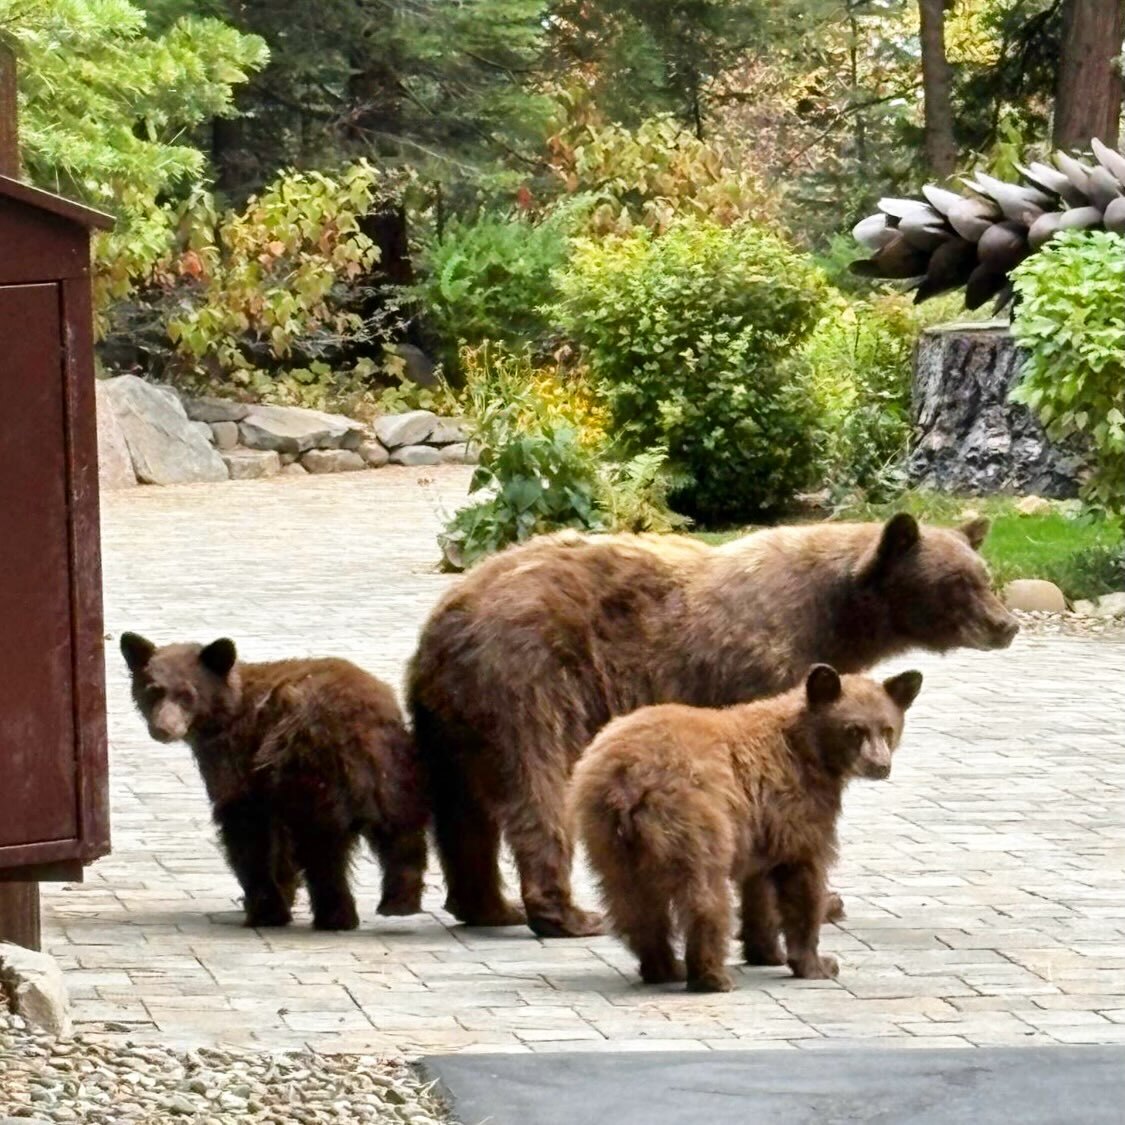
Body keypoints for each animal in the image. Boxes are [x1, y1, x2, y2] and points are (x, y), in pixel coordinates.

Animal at [121, 633, 428, 931]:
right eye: (153, 690)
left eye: (187, 694)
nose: (163, 728)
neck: (226, 710)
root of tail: (353, 727)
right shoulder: (270, 784)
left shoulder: (241, 763)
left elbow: (248, 834)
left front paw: (266, 907)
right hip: (391, 770)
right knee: (401, 833)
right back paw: (399, 902)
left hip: (313, 776)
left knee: (322, 848)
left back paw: (333, 916)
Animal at [407, 512, 1017, 939]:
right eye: (960, 582)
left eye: (985, 576)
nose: (1006, 624)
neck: (836, 616)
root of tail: (447, 619)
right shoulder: (765, 669)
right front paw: (821, 899)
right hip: (527, 683)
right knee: (538, 788)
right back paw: (567, 914)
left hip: (450, 719)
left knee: (463, 811)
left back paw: (490, 906)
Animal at [569, 663, 923, 992]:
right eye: (855, 730)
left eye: (887, 729)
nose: (880, 765)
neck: (809, 749)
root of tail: (627, 776)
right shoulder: (795, 804)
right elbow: (803, 872)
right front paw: (818, 963)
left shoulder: (762, 822)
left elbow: (760, 884)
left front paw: (767, 952)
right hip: (693, 815)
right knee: (703, 891)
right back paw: (711, 976)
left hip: (608, 834)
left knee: (632, 901)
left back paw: (665, 968)